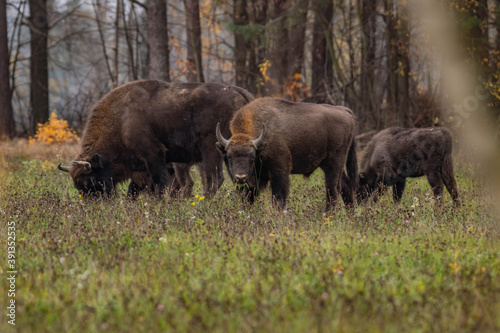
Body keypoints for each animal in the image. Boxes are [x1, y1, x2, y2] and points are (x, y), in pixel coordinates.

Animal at [58, 80, 254, 197]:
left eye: (90, 180)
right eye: (77, 187)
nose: (96, 205)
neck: (121, 119)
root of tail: (236, 91)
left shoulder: (154, 154)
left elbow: (159, 183)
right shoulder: (140, 169)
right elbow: (134, 189)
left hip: (211, 149)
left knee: (214, 180)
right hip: (230, 153)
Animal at [215, 96, 356, 210]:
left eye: (252, 156)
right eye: (229, 156)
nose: (240, 177)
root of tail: (345, 111)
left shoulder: (279, 172)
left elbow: (279, 199)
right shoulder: (254, 181)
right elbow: (249, 198)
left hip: (335, 163)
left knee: (333, 190)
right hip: (331, 165)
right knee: (345, 186)